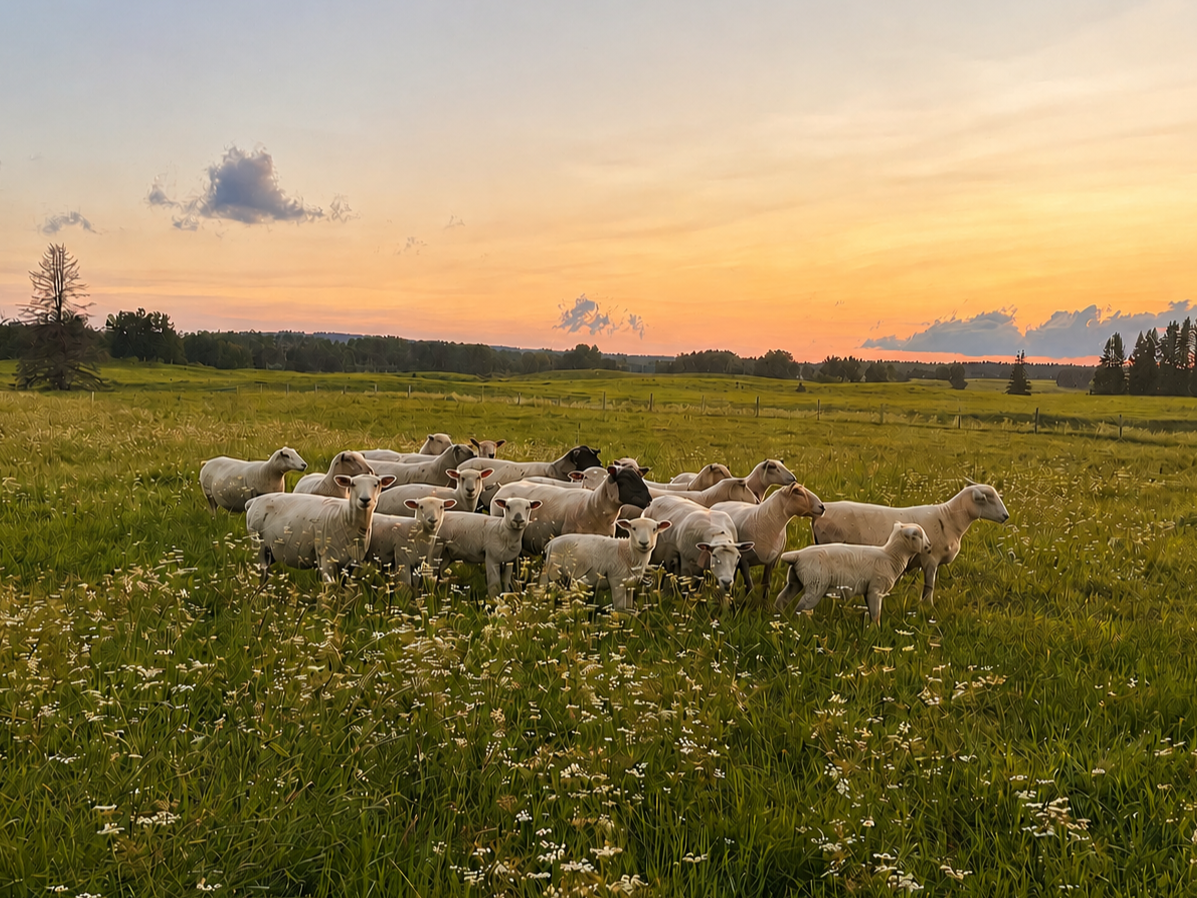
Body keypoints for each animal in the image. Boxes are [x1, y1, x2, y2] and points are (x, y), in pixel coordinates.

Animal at [245, 473, 396, 584]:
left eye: (376, 484)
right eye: (353, 484)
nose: (365, 500)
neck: (345, 517)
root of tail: (253, 501)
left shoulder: (352, 564)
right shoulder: (326, 559)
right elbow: (329, 589)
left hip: (270, 551)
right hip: (258, 544)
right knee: (263, 572)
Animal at [539, 518, 672, 611]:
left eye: (654, 529)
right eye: (633, 528)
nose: (644, 543)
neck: (627, 553)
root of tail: (550, 544)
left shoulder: (629, 584)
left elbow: (629, 608)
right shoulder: (616, 581)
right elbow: (620, 609)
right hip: (554, 575)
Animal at [775, 522, 932, 624]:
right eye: (917, 535)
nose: (929, 547)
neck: (891, 556)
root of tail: (797, 555)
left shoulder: (869, 591)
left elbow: (872, 614)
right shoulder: (876, 589)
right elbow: (876, 615)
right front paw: (876, 632)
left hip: (795, 581)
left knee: (782, 599)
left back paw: (777, 619)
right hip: (816, 585)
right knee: (800, 608)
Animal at [811, 483, 1010, 605]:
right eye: (987, 498)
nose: (1006, 516)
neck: (949, 518)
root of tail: (823, 510)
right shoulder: (930, 559)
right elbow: (930, 584)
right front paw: (927, 605)